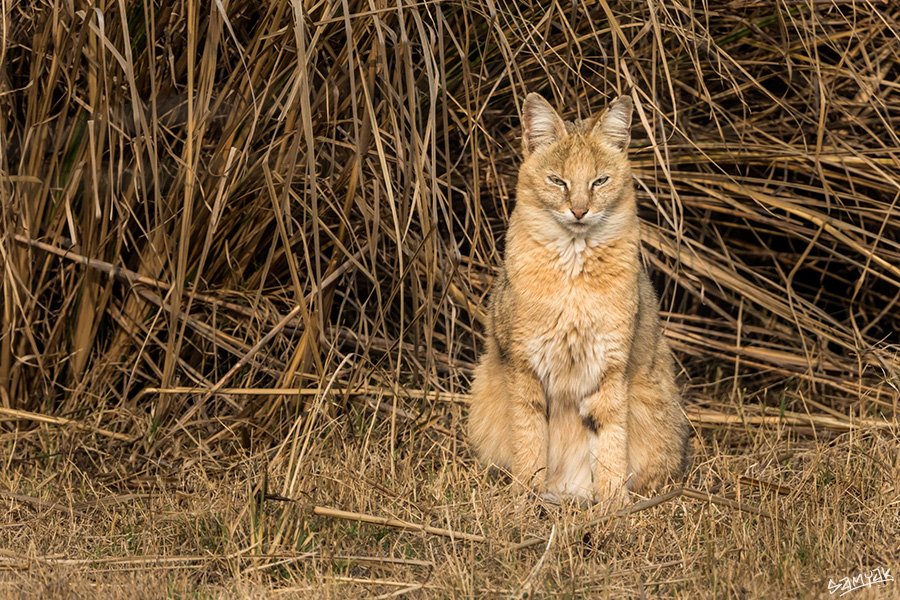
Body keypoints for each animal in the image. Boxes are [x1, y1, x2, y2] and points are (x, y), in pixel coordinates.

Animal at [464, 94, 688, 506]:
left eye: (600, 181)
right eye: (557, 181)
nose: (580, 211)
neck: (573, 273)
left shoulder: (609, 368)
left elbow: (610, 443)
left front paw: (613, 508)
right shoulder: (525, 367)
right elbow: (530, 442)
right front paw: (525, 501)